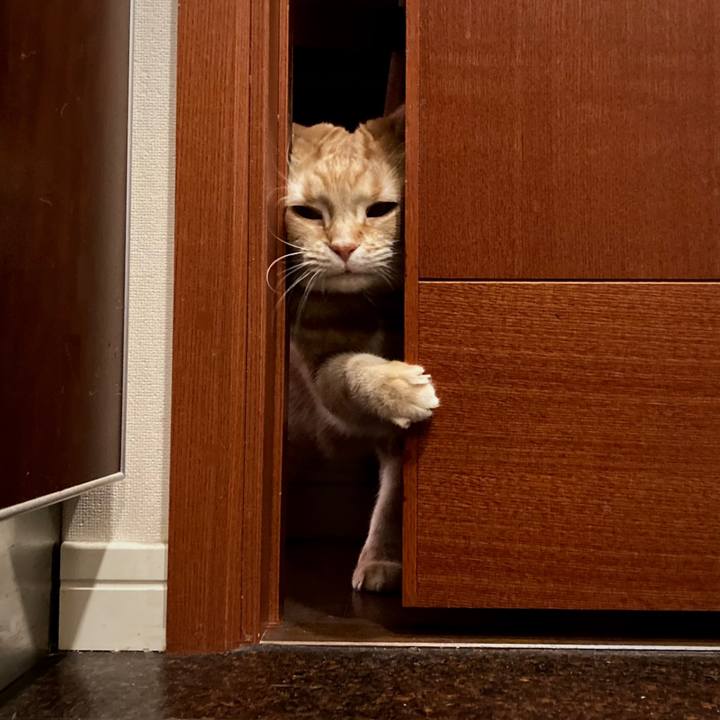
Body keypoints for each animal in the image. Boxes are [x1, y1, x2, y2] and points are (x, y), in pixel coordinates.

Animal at [282, 107, 439, 593]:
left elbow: (394, 495)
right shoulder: (320, 375)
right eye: (307, 213)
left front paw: (384, 558)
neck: (363, 308)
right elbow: (350, 371)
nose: (344, 247)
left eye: (381, 210)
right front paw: (398, 384)